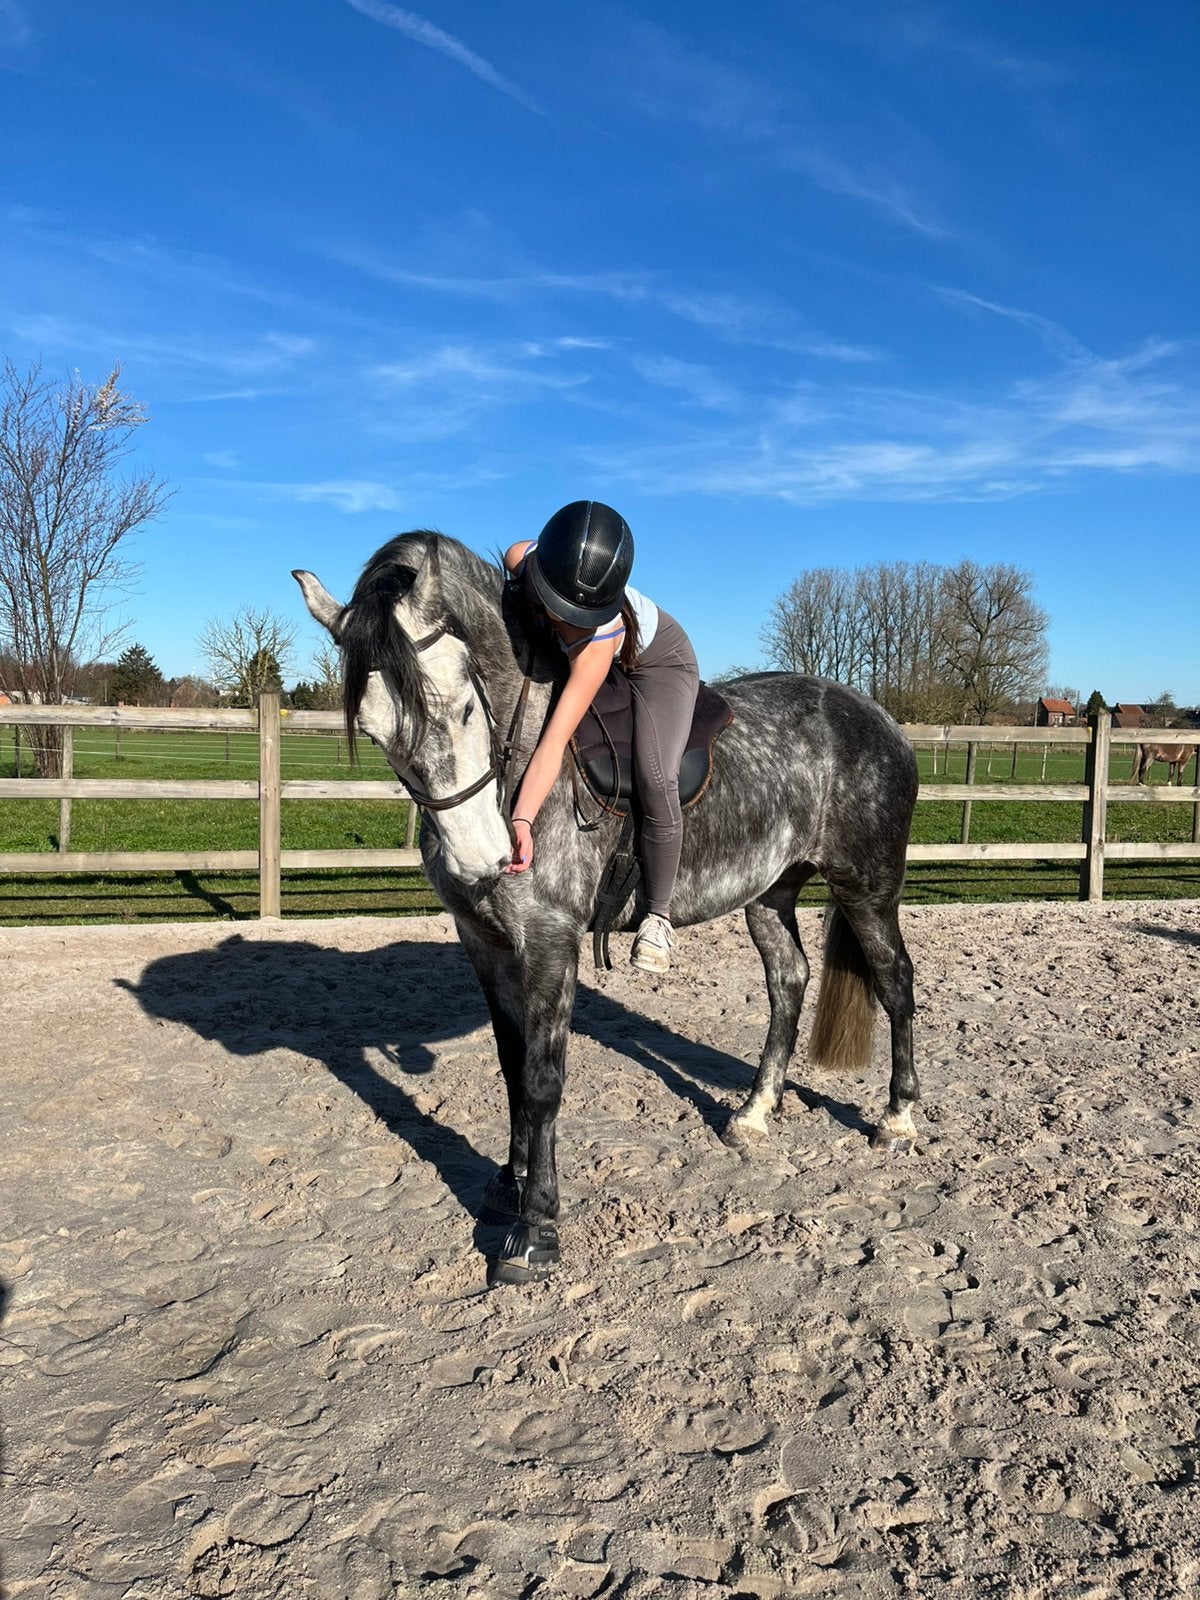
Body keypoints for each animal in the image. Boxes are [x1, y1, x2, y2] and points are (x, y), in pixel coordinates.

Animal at [294, 532, 920, 1284]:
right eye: (372, 730)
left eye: (466, 706)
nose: (482, 856)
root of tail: (878, 718)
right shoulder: (483, 941)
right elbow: (511, 1066)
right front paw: (507, 1183)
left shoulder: (549, 941)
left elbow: (543, 1080)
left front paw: (536, 1228)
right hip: (771, 893)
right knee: (788, 982)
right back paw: (753, 1114)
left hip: (867, 889)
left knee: (895, 983)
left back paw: (899, 1119)